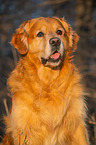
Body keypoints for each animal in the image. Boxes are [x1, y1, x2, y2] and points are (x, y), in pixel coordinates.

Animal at [2, 17, 89, 145]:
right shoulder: (25, 129)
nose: (55, 41)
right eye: (40, 34)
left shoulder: (76, 124)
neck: (48, 82)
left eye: (59, 32)